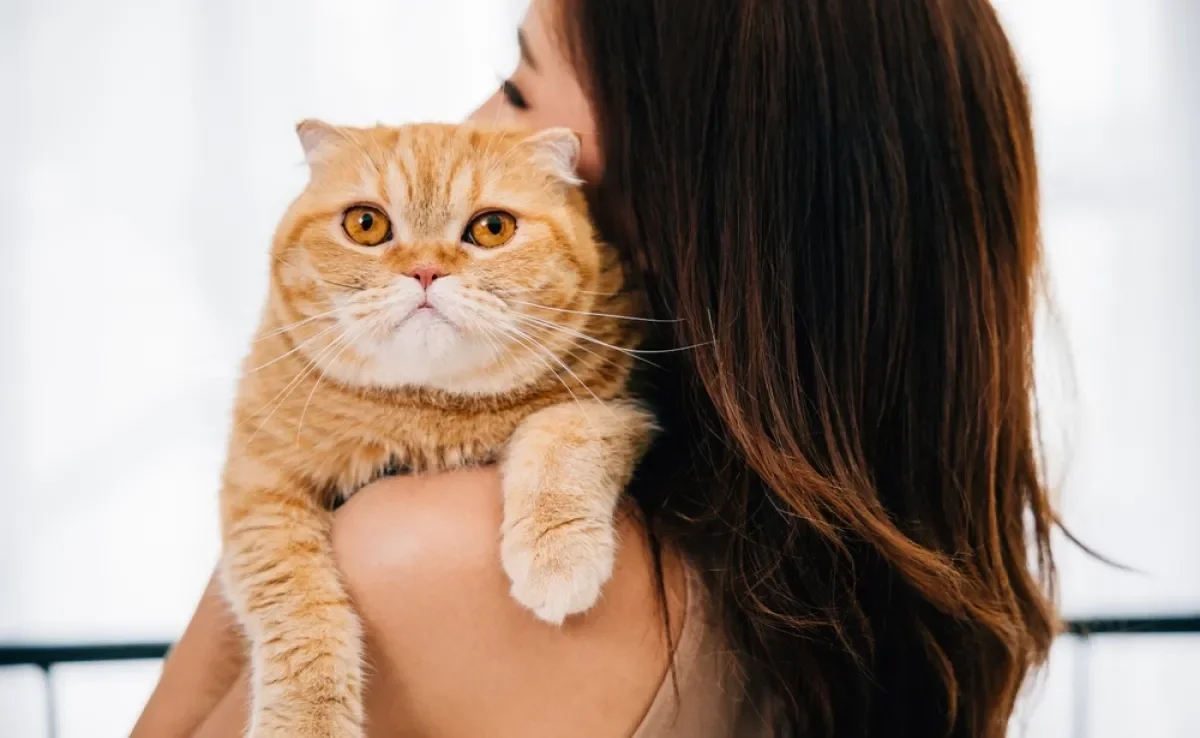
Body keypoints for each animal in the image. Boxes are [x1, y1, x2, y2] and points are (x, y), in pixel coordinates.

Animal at [220, 123, 662, 738]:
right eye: (366, 224)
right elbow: (297, 607)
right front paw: (306, 719)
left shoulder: (622, 407)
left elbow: (562, 433)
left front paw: (557, 553)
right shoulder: (260, 486)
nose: (425, 271)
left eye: (492, 228)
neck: (428, 411)